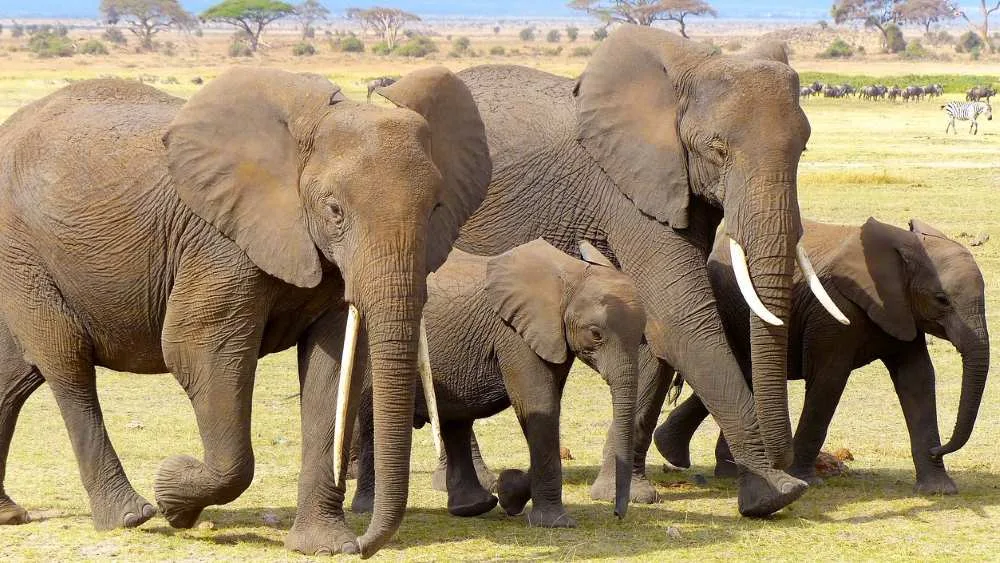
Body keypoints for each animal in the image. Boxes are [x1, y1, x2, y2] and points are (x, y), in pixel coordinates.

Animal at [0, 66, 492, 557]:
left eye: (436, 208)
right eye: (335, 210)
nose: (363, 545)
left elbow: (333, 370)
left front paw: (324, 547)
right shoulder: (219, 244)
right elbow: (199, 351)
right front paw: (173, 495)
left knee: (14, 377)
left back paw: (10, 514)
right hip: (24, 254)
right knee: (67, 364)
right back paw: (131, 515)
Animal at [350, 239, 644, 528]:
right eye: (595, 334)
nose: (617, 515)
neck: (569, 274)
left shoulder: (552, 337)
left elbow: (547, 408)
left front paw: (509, 491)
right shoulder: (514, 334)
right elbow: (539, 405)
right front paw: (555, 523)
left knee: (455, 421)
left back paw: (473, 506)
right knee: (375, 420)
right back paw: (366, 508)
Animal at [450, 25, 849, 517]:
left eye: (803, 148)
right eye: (718, 149)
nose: (785, 462)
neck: (692, 68)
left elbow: (651, 329)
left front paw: (626, 494)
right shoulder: (626, 190)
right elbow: (680, 318)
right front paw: (774, 495)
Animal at [655, 218, 990, 494]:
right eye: (941, 300)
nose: (939, 449)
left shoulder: (902, 312)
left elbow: (917, 380)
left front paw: (939, 490)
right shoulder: (832, 313)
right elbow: (829, 381)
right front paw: (808, 481)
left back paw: (701, 462)